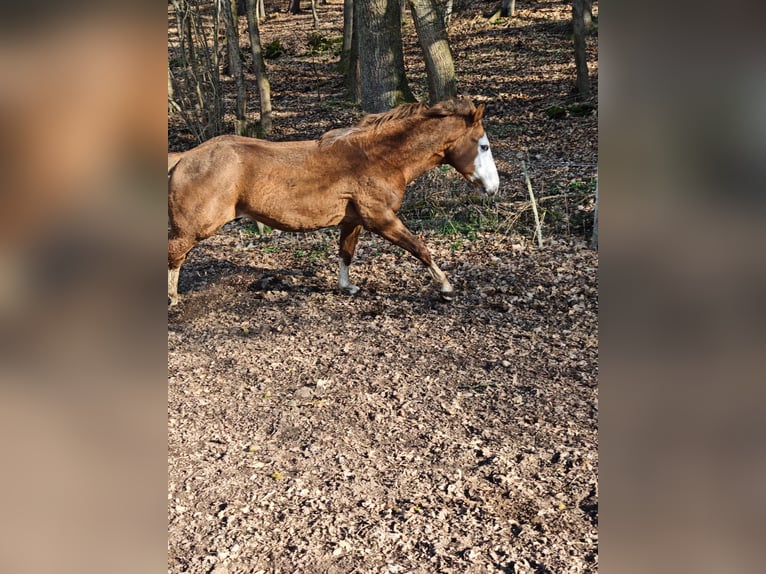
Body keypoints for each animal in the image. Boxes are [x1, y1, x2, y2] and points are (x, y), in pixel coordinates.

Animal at [168, 97, 499, 306]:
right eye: (483, 145)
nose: (494, 187)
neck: (379, 158)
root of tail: (184, 157)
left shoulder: (352, 221)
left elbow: (345, 254)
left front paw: (347, 287)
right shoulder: (381, 219)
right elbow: (420, 248)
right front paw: (446, 288)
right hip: (193, 229)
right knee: (174, 256)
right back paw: (171, 299)